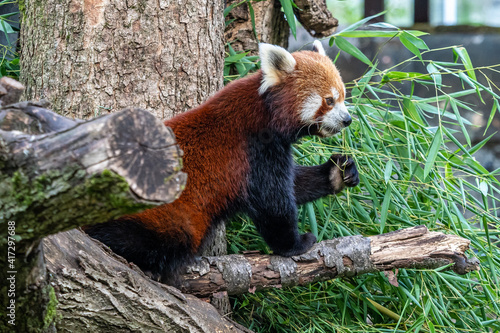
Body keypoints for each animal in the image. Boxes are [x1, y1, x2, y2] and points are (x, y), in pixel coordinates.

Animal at [86, 40, 360, 282]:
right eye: (329, 100)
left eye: (343, 96)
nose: (347, 120)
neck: (266, 112)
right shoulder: (254, 150)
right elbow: (273, 202)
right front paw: (294, 245)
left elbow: (294, 184)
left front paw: (338, 172)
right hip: (161, 217)